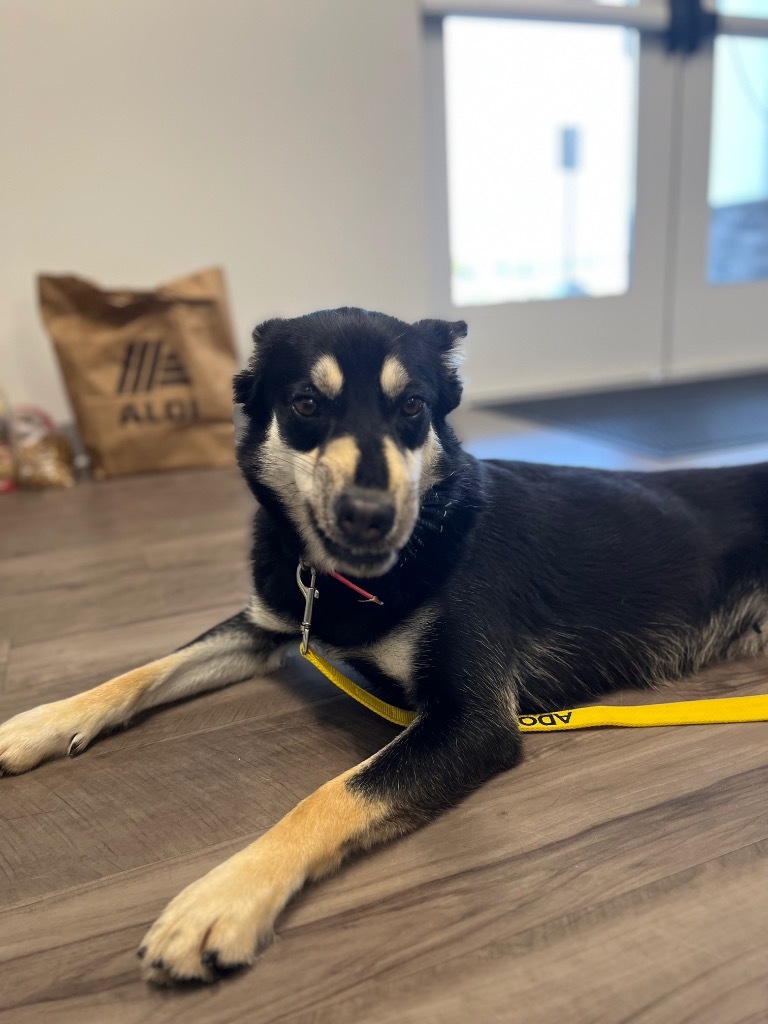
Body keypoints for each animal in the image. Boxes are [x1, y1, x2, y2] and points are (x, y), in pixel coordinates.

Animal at [1, 305, 768, 983]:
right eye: (306, 403)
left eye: (413, 408)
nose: (370, 516)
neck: (352, 582)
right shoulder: (269, 622)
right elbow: (146, 670)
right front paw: (41, 722)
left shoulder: (471, 721)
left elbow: (331, 794)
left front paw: (223, 897)